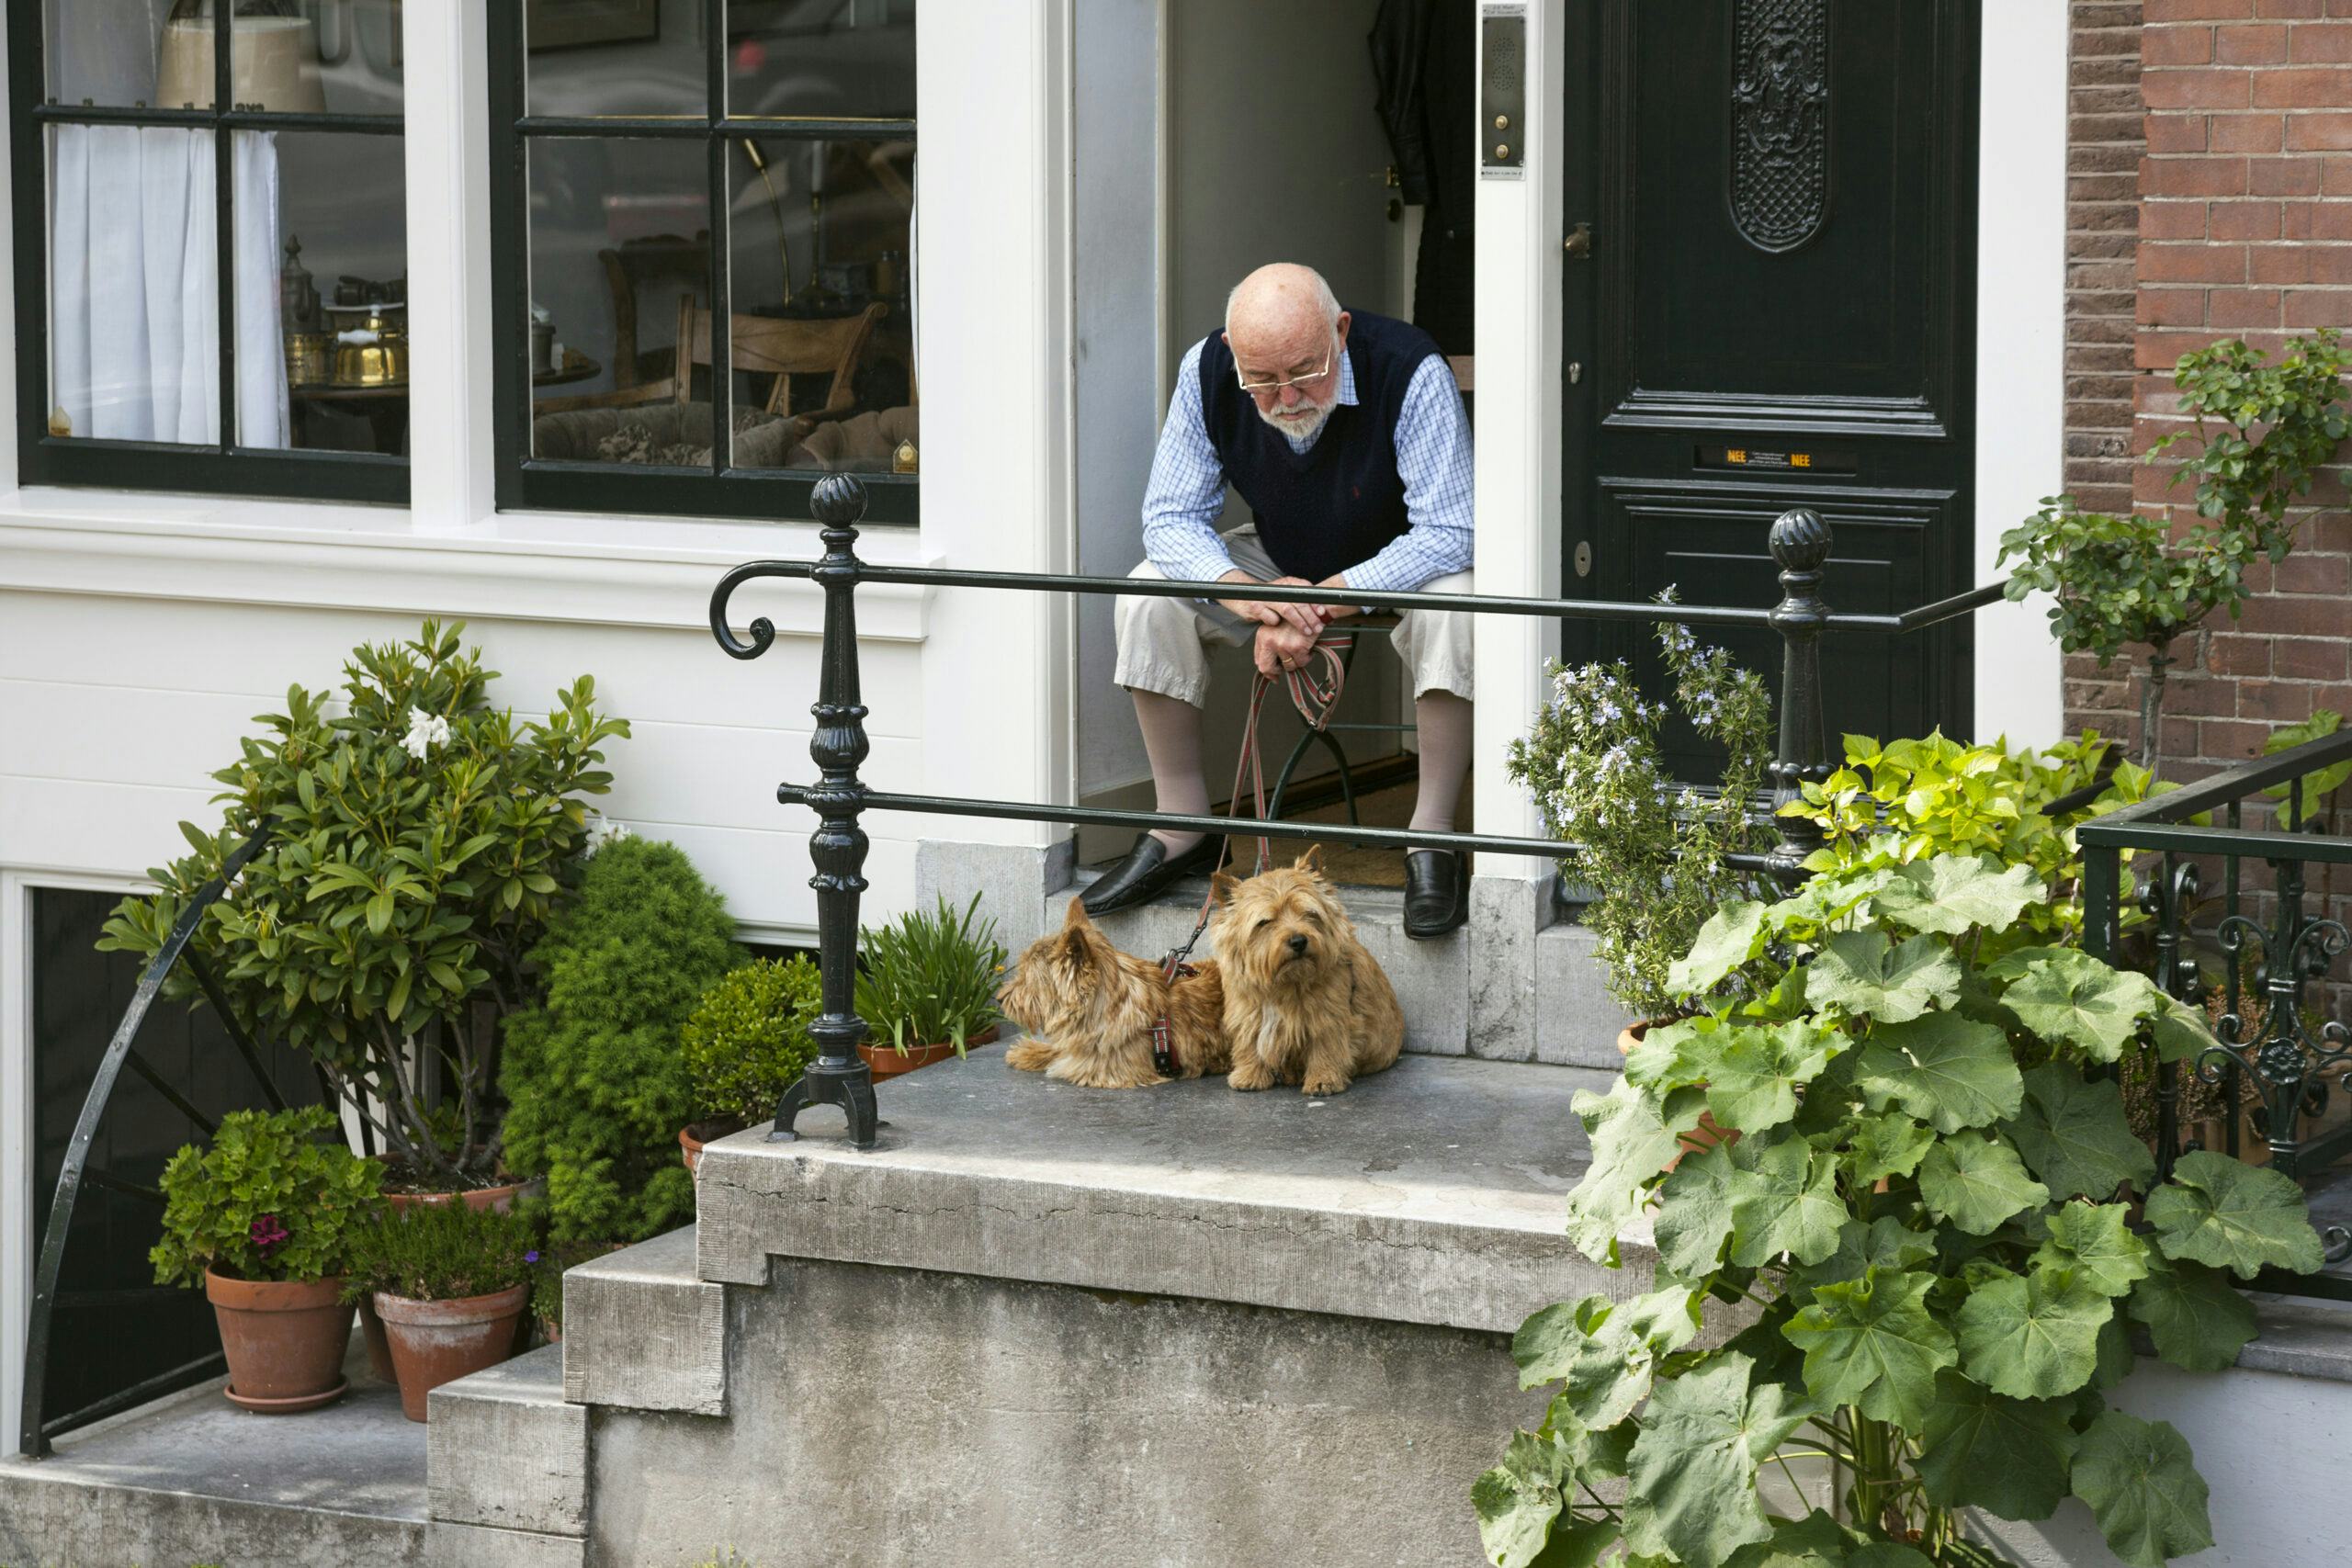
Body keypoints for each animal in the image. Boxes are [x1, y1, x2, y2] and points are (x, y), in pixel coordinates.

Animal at [1213, 851, 1392, 1100]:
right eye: (1264, 922)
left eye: (1310, 913)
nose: (1298, 941)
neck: (1284, 981)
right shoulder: (1247, 1012)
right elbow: (1249, 1041)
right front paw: (1249, 1075)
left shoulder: (1327, 1016)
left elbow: (1326, 1045)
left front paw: (1323, 1079)